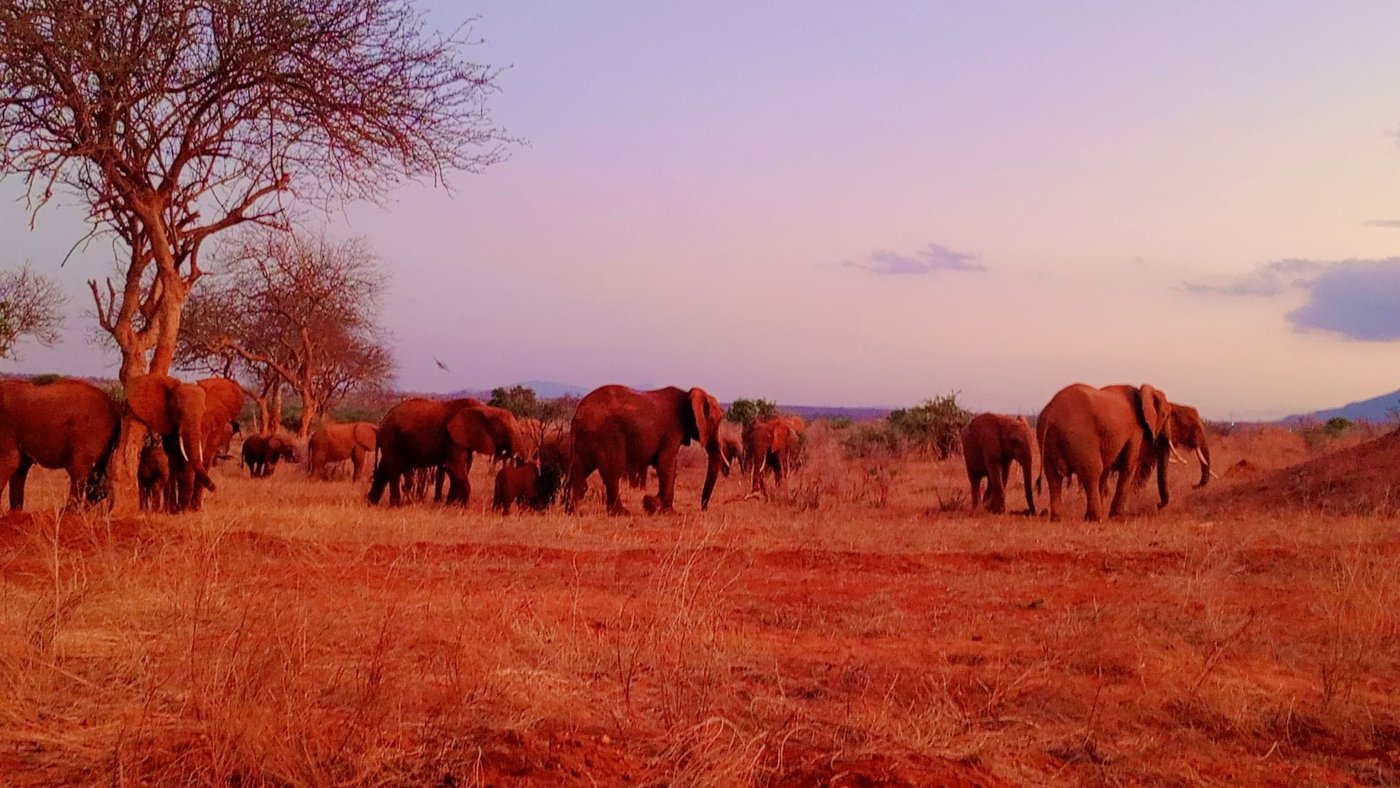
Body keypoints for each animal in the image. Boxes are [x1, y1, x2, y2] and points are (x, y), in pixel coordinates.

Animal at [0, 378, 121, 510]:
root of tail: (115, 410)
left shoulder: (5, 429)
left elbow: (10, 463)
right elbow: (19, 467)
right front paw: (15, 512)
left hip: (89, 436)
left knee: (79, 473)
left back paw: (69, 511)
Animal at [126, 375, 245, 513]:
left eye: (204, 412)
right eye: (177, 411)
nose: (214, 487)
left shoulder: (204, 426)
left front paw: (184, 509)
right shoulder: (169, 426)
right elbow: (176, 461)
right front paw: (174, 509)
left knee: (205, 462)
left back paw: (196, 507)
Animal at [368, 398, 524, 507]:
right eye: (505, 430)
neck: (485, 409)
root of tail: (382, 423)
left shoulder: (464, 440)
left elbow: (463, 468)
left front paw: (451, 505)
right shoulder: (453, 438)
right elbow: (454, 467)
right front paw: (464, 507)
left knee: (385, 468)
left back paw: (371, 503)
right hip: (391, 438)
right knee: (393, 469)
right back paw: (396, 505)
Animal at [567, 385, 726, 515]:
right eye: (718, 421)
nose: (704, 509)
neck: (687, 395)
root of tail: (577, 415)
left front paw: (654, 505)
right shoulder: (672, 431)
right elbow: (666, 464)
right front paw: (662, 509)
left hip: (586, 438)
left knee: (580, 472)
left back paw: (573, 512)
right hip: (606, 435)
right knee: (612, 472)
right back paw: (622, 513)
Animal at [1037, 383, 1172, 522]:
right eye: (1166, 415)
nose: (1158, 505)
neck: (1141, 392)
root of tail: (1051, 413)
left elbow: (1107, 469)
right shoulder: (1136, 430)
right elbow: (1128, 466)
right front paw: (1117, 517)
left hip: (1047, 440)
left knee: (1053, 477)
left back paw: (1058, 518)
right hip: (1080, 438)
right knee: (1093, 471)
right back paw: (1097, 518)